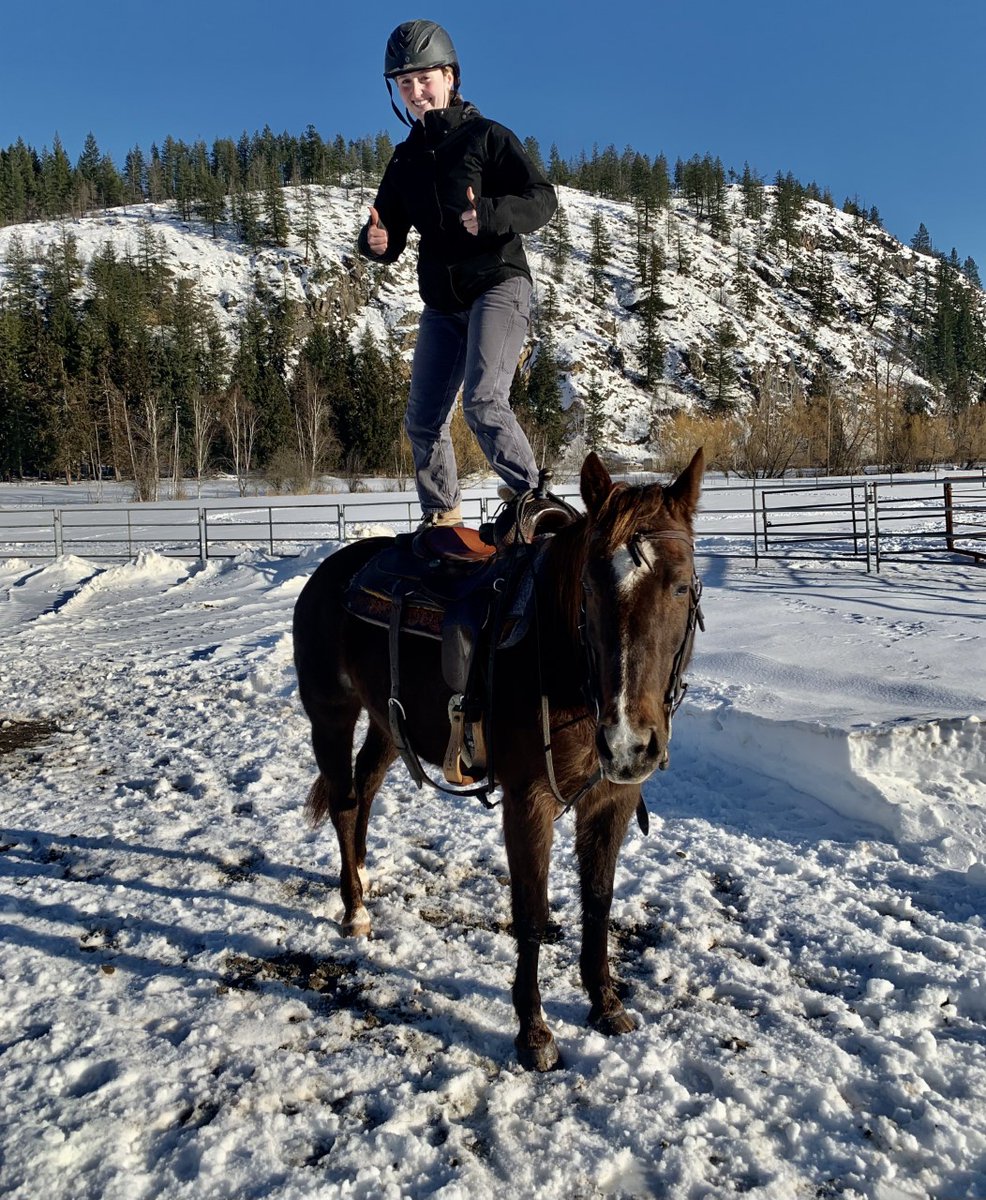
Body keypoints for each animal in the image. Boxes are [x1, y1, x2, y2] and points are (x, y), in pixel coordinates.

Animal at [292, 449, 704, 1070]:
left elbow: (598, 901)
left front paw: (605, 1002)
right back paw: (354, 910)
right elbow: (531, 912)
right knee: (343, 803)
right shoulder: (527, 801)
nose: (629, 742)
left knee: (364, 791)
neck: (561, 662)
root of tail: (329, 573)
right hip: (331, 717)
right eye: (590, 587)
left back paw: (361, 876)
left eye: (680, 586)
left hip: (389, 723)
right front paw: (534, 1032)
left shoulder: (612, 798)